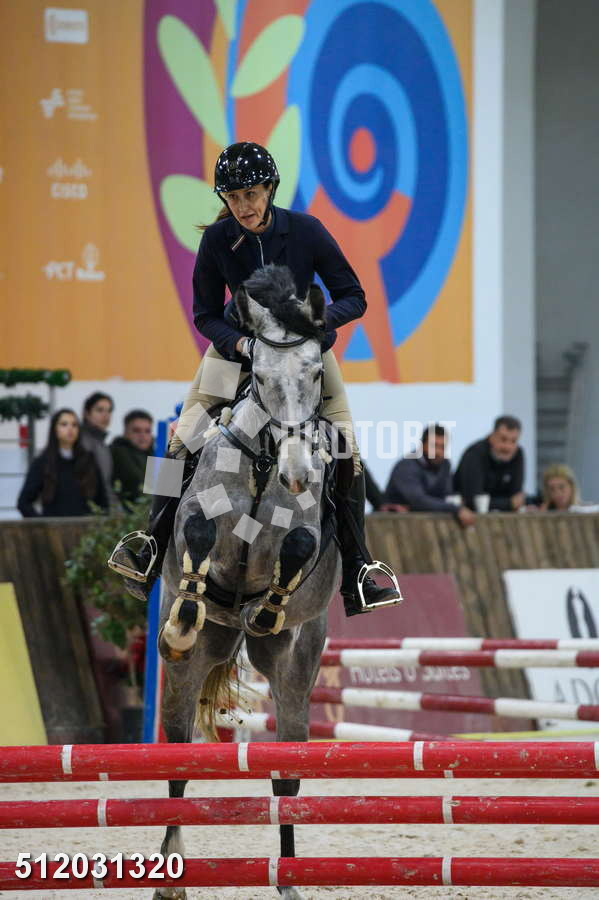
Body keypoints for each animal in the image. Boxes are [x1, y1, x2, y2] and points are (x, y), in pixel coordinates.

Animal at [154, 265, 341, 900]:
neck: (263, 460)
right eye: (257, 375)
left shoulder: (302, 537)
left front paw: (265, 607)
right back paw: (170, 878)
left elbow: (299, 546)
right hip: (191, 670)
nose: (298, 472)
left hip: (294, 673)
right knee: (178, 764)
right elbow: (198, 531)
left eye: (315, 372)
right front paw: (182, 618)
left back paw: (287, 880)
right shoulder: (196, 520)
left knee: (286, 780)